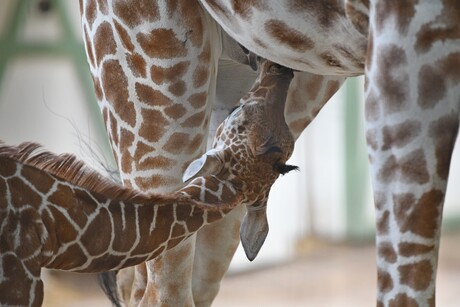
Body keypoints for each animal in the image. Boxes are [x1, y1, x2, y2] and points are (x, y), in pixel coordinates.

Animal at [81, 0, 458, 307]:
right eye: (241, 113)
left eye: (285, 162)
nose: (278, 68)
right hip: (158, 77)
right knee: (157, 286)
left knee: (171, 285)